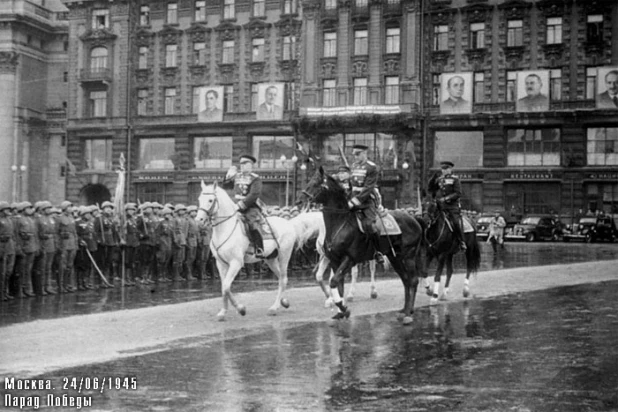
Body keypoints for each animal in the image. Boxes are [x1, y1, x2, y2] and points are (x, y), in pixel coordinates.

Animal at [197, 181, 300, 322]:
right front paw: (224, 312)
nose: (198, 220)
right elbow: (224, 287)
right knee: (281, 278)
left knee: (283, 279)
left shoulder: (236, 263)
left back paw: (274, 308)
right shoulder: (221, 264)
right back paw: (283, 302)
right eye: (199, 199)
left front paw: (241, 309)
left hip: (284, 255)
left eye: (210, 200)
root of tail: (288, 223)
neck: (225, 228)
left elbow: (226, 287)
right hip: (271, 259)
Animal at [302, 167, 424, 326]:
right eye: (310, 179)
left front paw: (344, 308)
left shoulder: (349, 259)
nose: (303, 196)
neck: (340, 223)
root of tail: (414, 219)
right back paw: (404, 309)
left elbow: (334, 282)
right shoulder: (335, 260)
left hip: (408, 256)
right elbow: (338, 286)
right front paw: (341, 311)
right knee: (405, 279)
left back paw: (408, 313)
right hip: (395, 257)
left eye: (318, 183)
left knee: (413, 280)